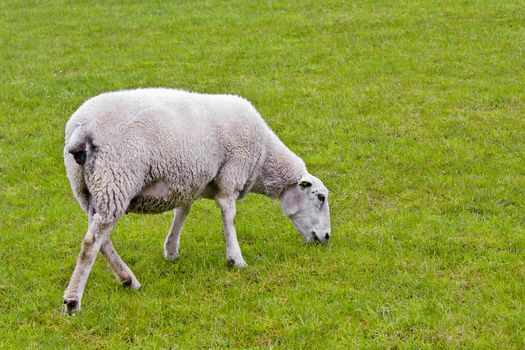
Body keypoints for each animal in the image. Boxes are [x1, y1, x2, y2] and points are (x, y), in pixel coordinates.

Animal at [62, 89, 332, 314]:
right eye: (320, 197)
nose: (327, 237)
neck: (264, 158)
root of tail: (83, 128)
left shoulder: (191, 182)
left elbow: (183, 211)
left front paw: (171, 250)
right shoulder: (231, 175)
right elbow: (229, 215)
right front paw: (236, 259)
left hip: (89, 189)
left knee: (101, 240)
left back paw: (128, 280)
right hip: (115, 178)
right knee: (91, 243)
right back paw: (73, 301)